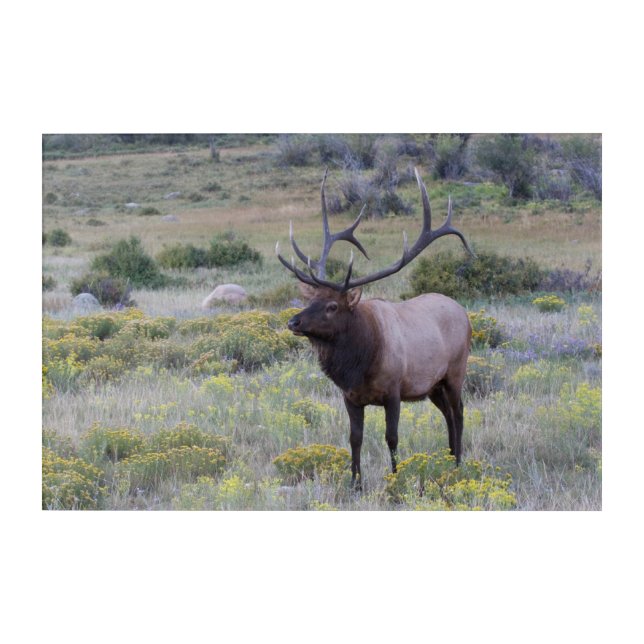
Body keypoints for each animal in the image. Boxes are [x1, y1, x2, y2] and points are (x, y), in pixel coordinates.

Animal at [276, 168, 474, 489]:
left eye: (332, 306)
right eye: (312, 299)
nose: (293, 322)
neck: (360, 364)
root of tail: (464, 313)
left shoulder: (394, 391)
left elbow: (391, 438)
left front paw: (394, 479)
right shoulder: (350, 397)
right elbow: (354, 438)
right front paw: (355, 483)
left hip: (456, 371)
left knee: (459, 412)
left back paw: (457, 463)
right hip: (432, 385)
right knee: (447, 413)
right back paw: (449, 457)